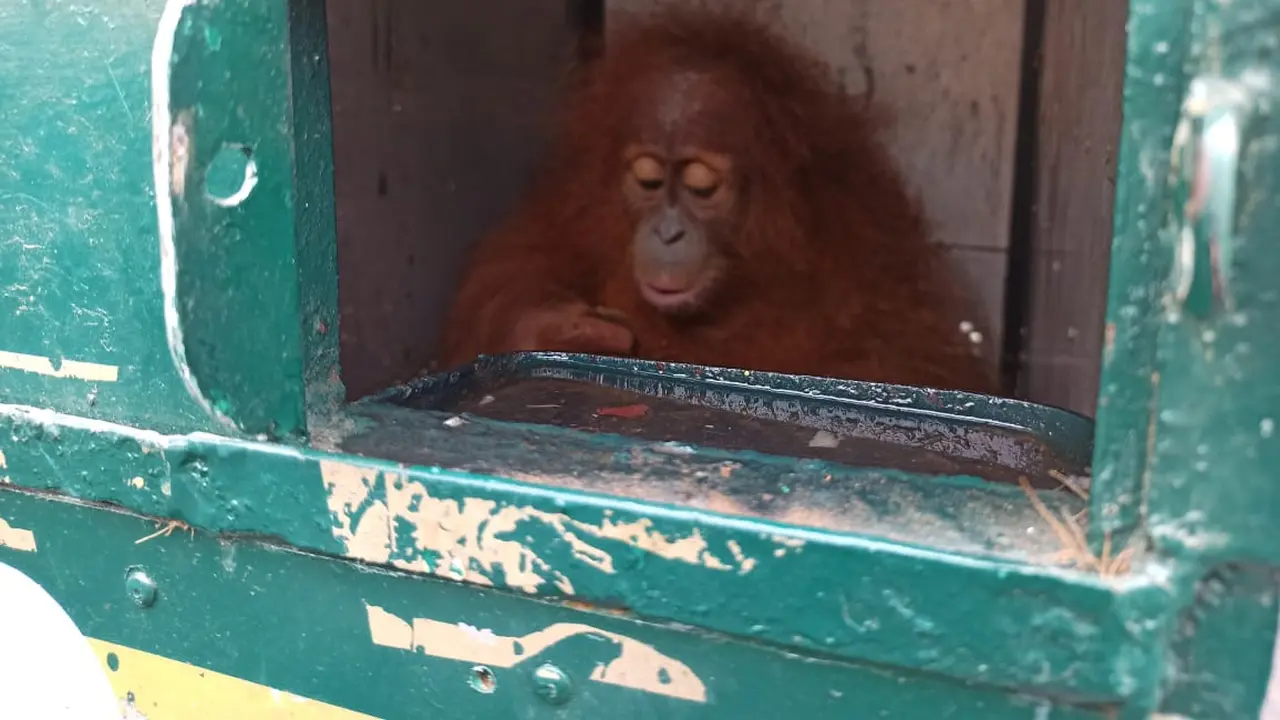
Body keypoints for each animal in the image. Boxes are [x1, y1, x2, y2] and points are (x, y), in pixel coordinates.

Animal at [438, 5, 998, 395]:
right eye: (647, 180)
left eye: (702, 188)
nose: (668, 233)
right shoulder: (566, 204)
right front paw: (562, 331)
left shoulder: (870, 254)